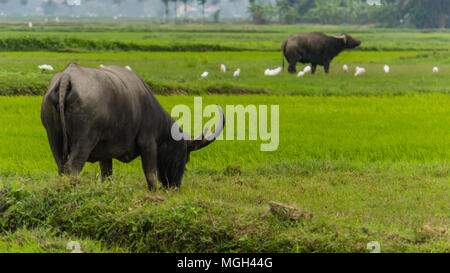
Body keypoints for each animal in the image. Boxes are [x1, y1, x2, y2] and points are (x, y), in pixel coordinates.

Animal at [41, 63, 224, 191]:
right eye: (185, 157)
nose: (175, 186)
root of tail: (67, 76)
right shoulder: (148, 142)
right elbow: (150, 173)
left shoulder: (105, 153)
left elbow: (107, 175)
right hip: (85, 139)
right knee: (72, 167)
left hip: (53, 136)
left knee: (61, 167)